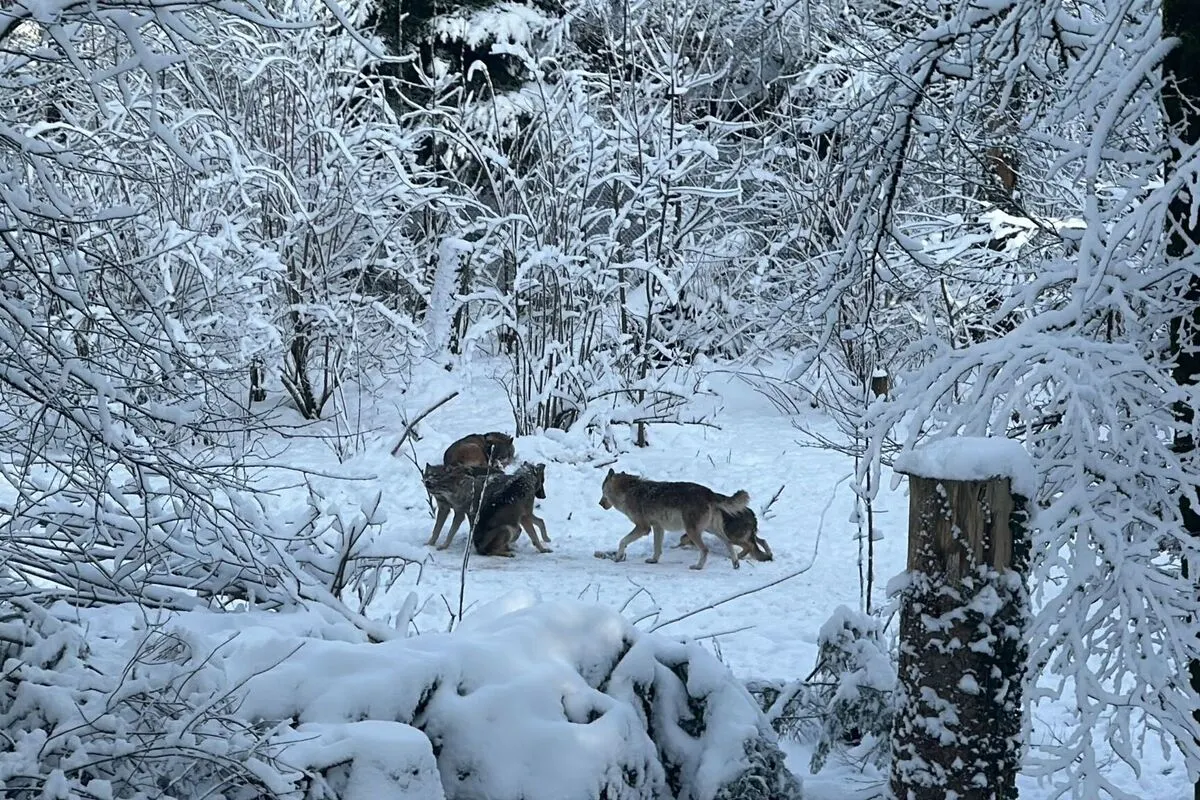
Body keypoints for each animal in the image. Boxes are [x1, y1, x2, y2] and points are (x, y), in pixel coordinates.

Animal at [596, 468, 750, 570]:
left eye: (602, 491)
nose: (600, 503)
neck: (627, 491)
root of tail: (710, 493)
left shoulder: (643, 528)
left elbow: (623, 541)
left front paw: (617, 557)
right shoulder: (658, 527)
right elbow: (657, 547)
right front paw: (654, 560)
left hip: (693, 531)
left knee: (705, 549)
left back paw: (698, 566)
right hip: (710, 530)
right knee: (728, 543)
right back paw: (735, 563)